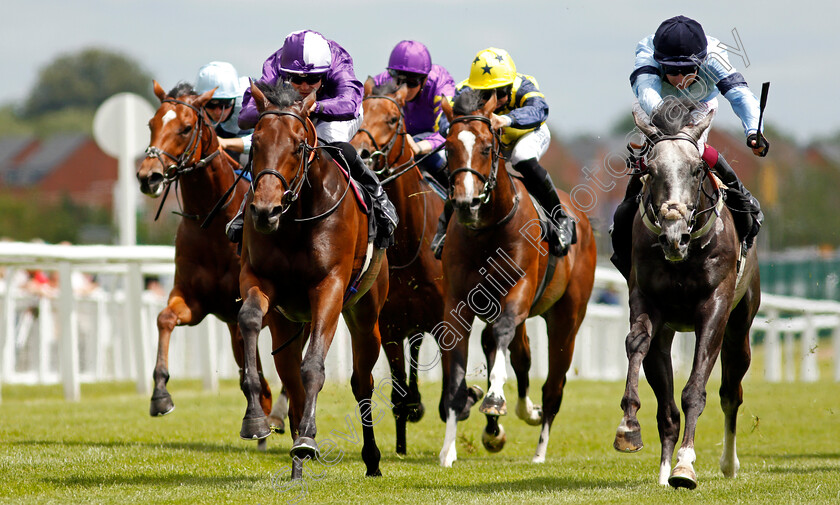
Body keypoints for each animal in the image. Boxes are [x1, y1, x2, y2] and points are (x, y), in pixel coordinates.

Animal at [136, 80, 284, 446]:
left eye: (186, 127)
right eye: (151, 123)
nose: (148, 176)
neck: (211, 221)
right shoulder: (195, 302)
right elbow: (164, 319)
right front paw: (160, 396)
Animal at [240, 79, 390, 476]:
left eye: (297, 145)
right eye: (255, 142)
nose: (265, 211)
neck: (294, 219)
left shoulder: (330, 287)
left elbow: (314, 367)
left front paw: (308, 438)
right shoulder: (257, 277)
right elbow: (249, 319)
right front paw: (255, 419)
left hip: (366, 314)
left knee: (362, 381)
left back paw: (371, 458)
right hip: (286, 324)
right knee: (290, 377)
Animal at [350, 78, 450, 452]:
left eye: (394, 119)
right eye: (360, 113)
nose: (361, 152)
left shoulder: (444, 319)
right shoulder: (390, 324)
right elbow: (398, 392)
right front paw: (402, 438)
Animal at [434, 89, 596, 464]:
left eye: (485, 147)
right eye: (448, 147)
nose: (465, 203)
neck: (487, 230)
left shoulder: (518, 294)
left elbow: (503, 339)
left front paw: (494, 398)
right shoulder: (457, 303)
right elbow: (459, 370)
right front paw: (448, 449)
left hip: (567, 318)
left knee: (553, 385)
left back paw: (539, 448)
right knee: (516, 353)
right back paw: (510, 420)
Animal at [612, 99, 760, 488]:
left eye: (696, 170)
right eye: (649, 170)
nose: (673, 236)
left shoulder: (715, 307)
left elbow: (695, 390)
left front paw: (686, 465)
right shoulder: (645, 298)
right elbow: (636, 344)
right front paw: (628, 426)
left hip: (741, 325)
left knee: (731, 393)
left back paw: (728, 463)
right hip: (666, 335)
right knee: (667, 410)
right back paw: (664, 471)